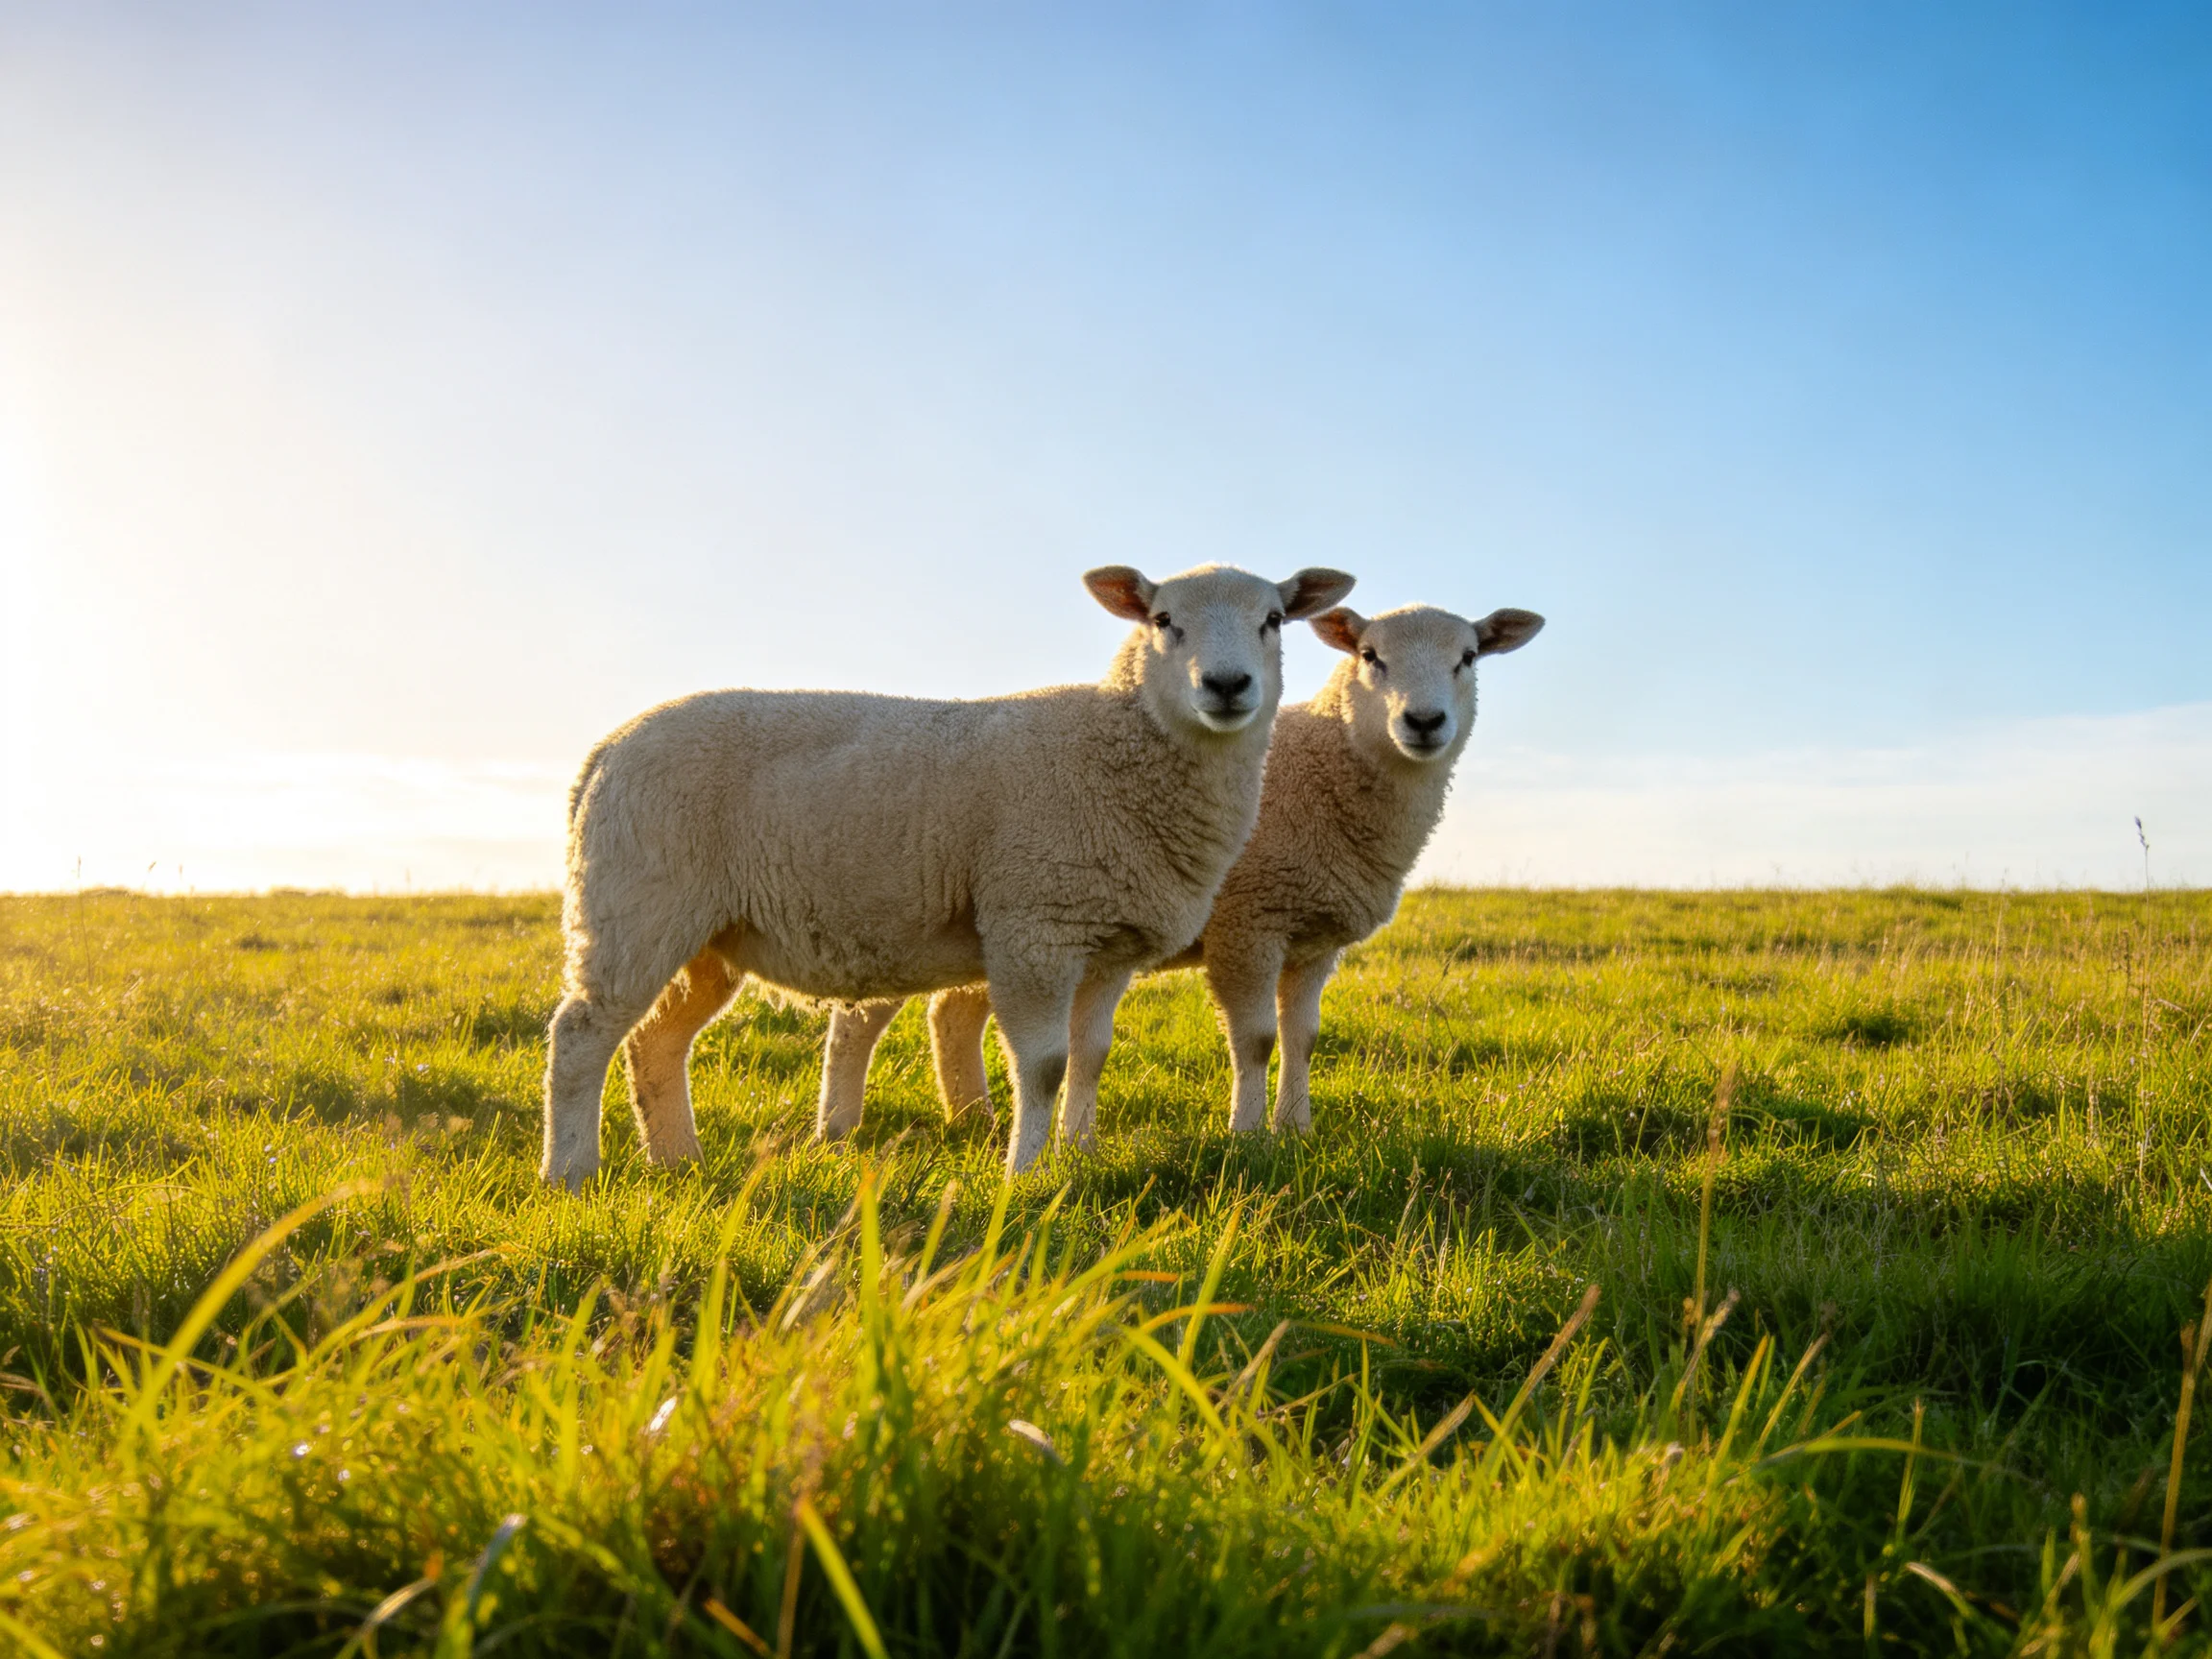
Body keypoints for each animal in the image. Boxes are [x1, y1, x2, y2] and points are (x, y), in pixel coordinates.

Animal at [540, 562, 1358, 1186]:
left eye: (1274, 619)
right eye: (1162, 620)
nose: (1227, 685)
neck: (1121, 747)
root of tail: (603, 752)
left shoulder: (1108, 944)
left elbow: (1090, 1058)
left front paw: (1080, 1154)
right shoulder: (1034, 926)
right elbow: (1045, 1064)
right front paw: (1025, 1175)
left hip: (706, 934)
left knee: (655, 1042)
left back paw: (677, 1159)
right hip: (636, 905)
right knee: (581, 1035)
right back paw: (571, 1173)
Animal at [833, 600, 1543, 1143]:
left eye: (1469, 657)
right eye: (1371, 656)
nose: (1423, 721)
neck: (1330, 768)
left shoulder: (1315, 941)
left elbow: (1304, 1037)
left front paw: (1297, 1128)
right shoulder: (1248, 923)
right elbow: (1256, 1039)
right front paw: (1249, 1137)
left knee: (951, 1012)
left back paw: (971, 1119)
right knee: (863, 1015)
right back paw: (842, 1129)